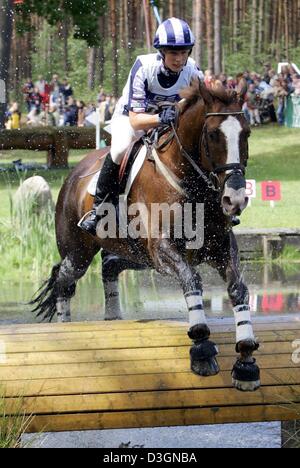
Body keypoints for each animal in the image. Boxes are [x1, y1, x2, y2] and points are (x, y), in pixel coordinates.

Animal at [31, 79, 260, 392]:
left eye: (246, 133)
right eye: (213, 134)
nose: (235, 199)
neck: (190, 182)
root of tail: (73, 175)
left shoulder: (220, 247)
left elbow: (238, 288)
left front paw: (247, 361)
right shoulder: (163, 248)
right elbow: (192, 279)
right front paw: (201, 348)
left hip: (136, 255)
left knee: (109, 267)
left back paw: (113, 318)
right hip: (78, 254)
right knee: (63, 280)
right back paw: (66, 328)